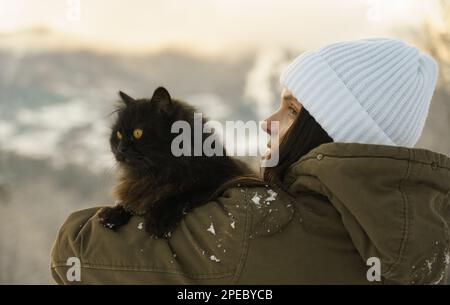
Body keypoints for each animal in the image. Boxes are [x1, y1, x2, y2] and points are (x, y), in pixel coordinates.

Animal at [99, 86, 253, 236]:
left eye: (138, 133)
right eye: (118, 134)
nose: (120, 149)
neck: (156, 174)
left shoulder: (218, 183)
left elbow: (182, 195)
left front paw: (158, 218)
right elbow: (131, 202)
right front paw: (112, 214)